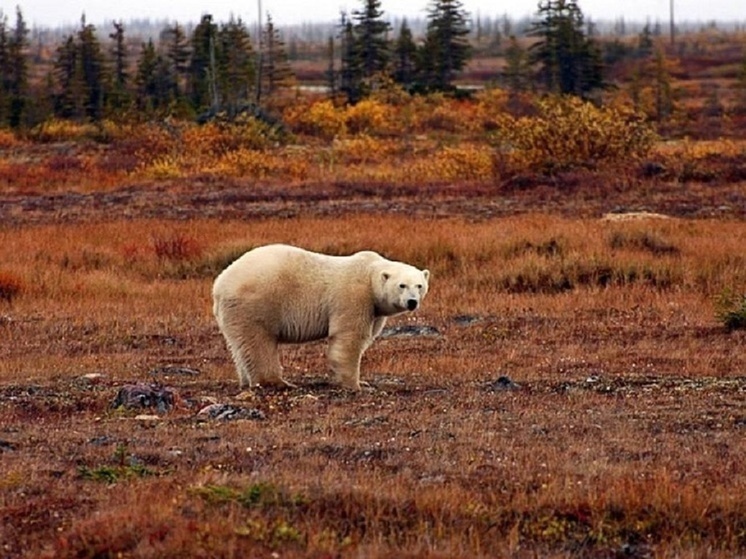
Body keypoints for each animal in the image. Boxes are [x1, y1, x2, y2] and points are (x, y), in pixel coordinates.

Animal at [211, 243, 430, 392]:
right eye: (402, 285)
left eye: (419, 285)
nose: (412, 302)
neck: (369, 274)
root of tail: (220, 283)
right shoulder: (354, 297)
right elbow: (349, 338)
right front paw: (355, 384)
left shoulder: (374, 309)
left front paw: (363, 382)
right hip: (256, 303)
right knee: (258, 343)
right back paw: (279, 382)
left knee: (240, 346)